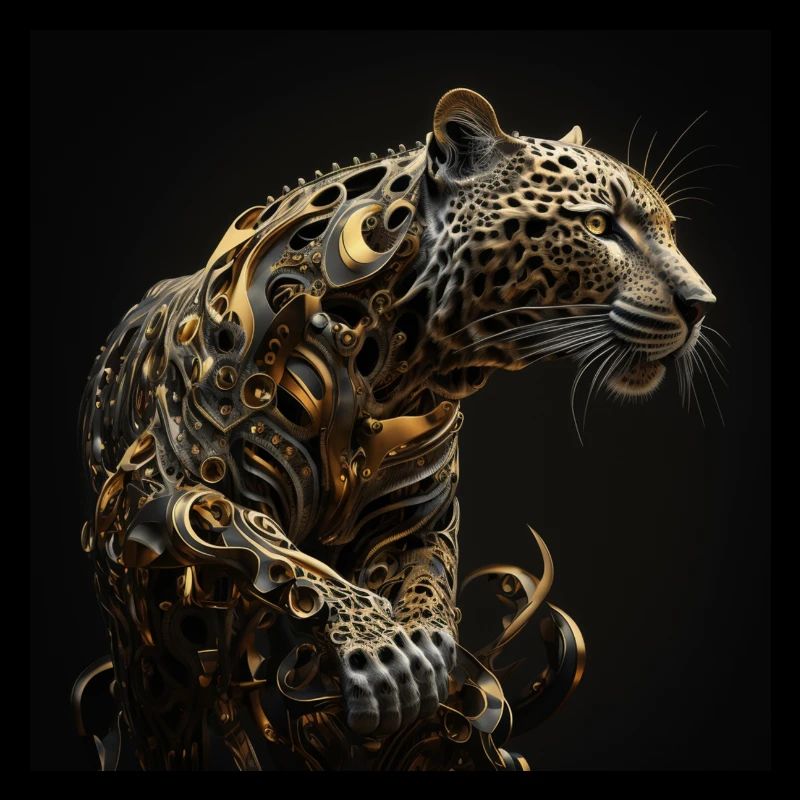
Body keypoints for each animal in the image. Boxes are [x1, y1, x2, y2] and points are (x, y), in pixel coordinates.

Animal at [75, 88, 718, 771]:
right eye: (599, 227)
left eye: (671, 230)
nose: (702, 305)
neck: (392, 361)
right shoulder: (166, 491)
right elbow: (276, 553)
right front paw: (383, 654)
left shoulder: (416, 522)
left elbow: (428, 581)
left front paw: (423, 658)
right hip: (145, 624)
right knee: (163, 708)